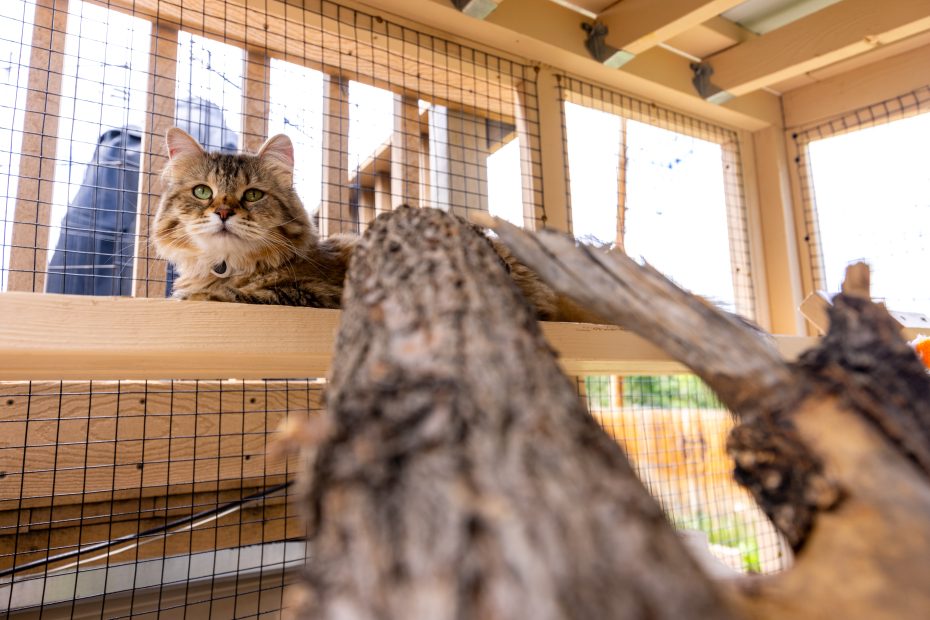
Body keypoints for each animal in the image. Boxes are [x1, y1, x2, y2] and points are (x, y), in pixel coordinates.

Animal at [150, 128, 600, 322]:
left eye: (252, 196)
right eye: (203, 192)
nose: (223, 213)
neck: (229, 266)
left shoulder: (317, 294)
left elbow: (243, 295)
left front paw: (197, 296)